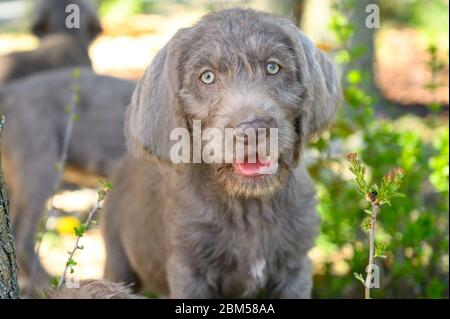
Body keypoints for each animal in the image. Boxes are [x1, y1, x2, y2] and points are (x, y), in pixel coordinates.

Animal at [102, 9, 340, 300]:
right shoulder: (190, 271)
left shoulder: (295, 268)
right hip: (117, 257)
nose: (254, 129)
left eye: (273, 67)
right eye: (207, 77)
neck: (248, 206)